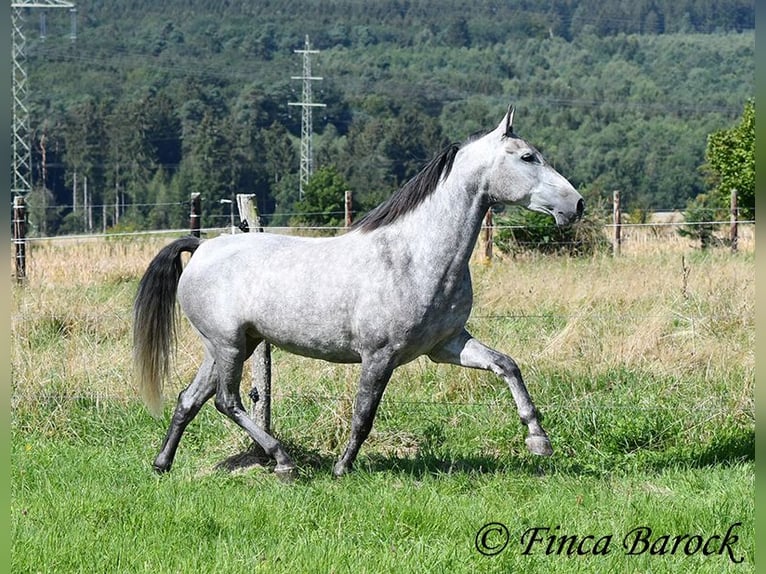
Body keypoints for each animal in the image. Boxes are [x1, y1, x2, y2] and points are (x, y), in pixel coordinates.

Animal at [135, 106, 584, 480]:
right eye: (527, 157)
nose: (576, 204)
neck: (414, 256)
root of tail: (202, 247)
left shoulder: (447, 345)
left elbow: (507, 365)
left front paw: (538, 440)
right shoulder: (379, 355)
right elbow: (364, 414)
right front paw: (342, 467)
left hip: (232, 345)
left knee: (189, 399)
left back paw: (162, 464)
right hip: (228, 345)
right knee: (227, 402)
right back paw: (283, 462)